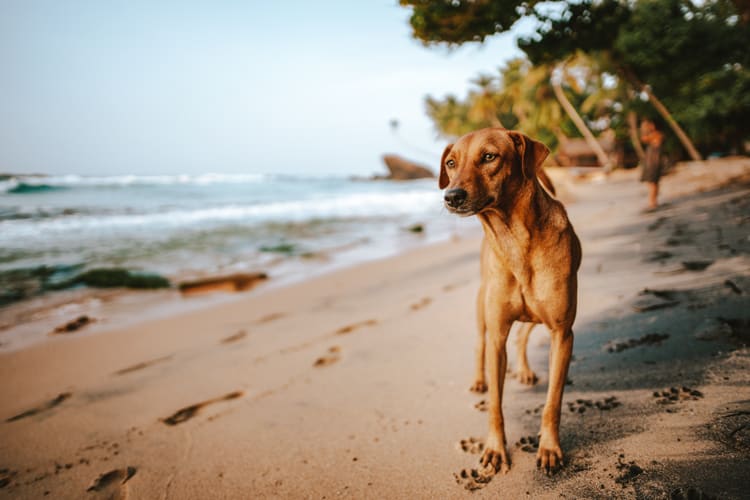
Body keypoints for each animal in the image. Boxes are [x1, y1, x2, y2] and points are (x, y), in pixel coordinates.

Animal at [440, 127, 580, 474]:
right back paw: (479, 380)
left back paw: (526, 370)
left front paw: (549, 448)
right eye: (451, 162)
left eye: (489, 156)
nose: (451, 196)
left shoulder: (562, 333)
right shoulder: (497, 336)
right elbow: (495, 404)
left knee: (524, 335)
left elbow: (553, 401)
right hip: (481, 306)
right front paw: (494, 449)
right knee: (480, 343)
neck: (515, 239)